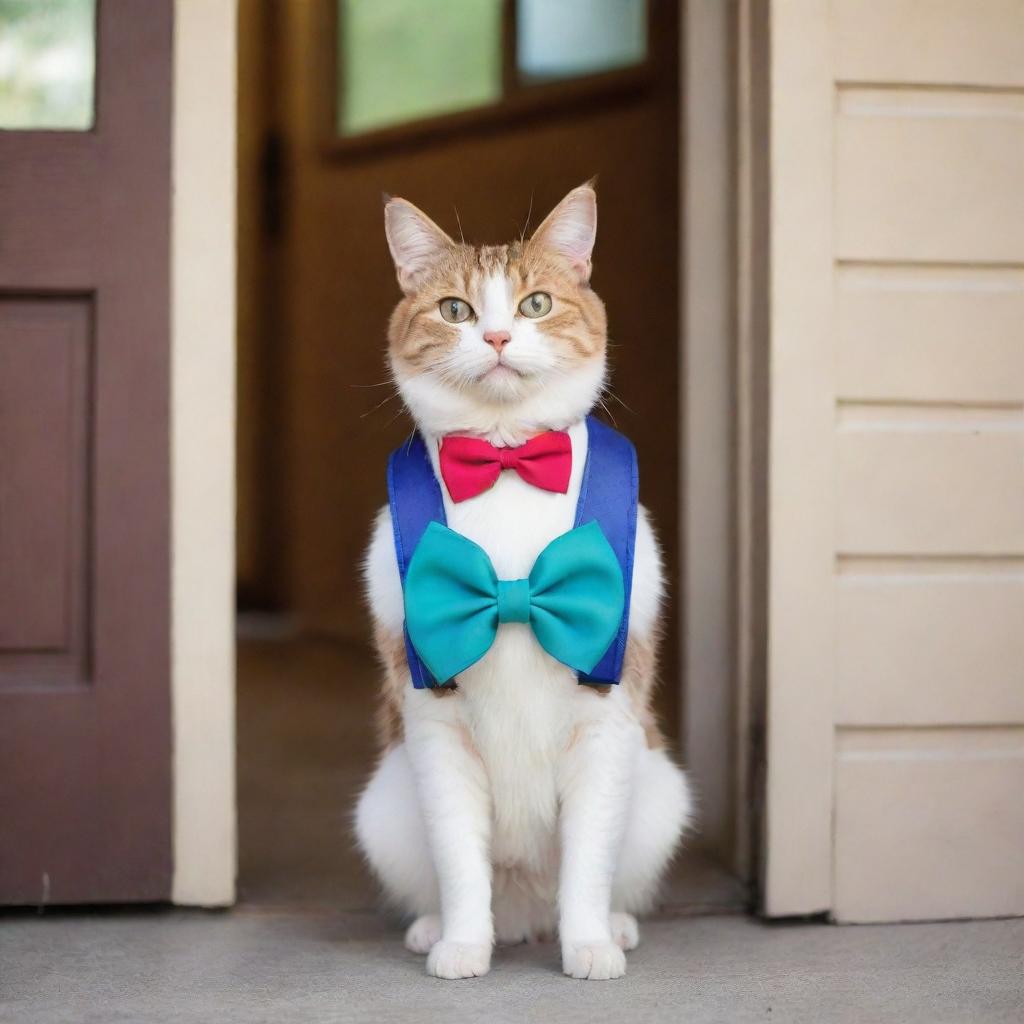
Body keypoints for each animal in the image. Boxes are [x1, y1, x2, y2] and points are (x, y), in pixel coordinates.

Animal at [356, 186, 692, 983]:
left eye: (535, 303)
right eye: (455, 310)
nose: (500, 337)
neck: (507, 464)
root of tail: (525, 918)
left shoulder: (607, 722)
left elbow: (589, 859)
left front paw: (590, 944)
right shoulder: (434, 726)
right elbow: (459, 858)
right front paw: (460, 945)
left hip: (660, 791)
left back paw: (611, 923)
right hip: (384, 805)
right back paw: (438, 927)